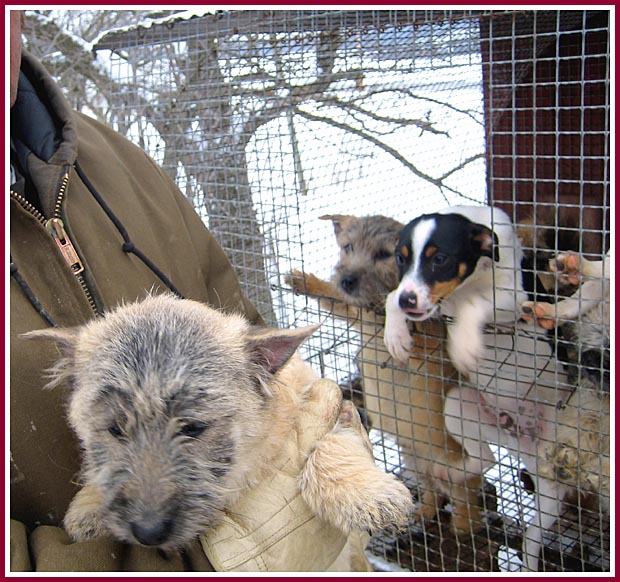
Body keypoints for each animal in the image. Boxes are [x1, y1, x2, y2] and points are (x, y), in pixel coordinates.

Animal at [24, 296, 412, 560]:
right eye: (116, 429)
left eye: (193, 427)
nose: (147, 532)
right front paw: (88, 504)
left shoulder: (330, 404)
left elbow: (332, 443)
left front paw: (364, 493)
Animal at [386, 206, 524, 378]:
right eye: (399, 258)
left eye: (439, 259)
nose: (405, 301)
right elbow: (391, 297)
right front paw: (395, 336)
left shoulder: (516, 299)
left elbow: (472, 302)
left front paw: (464, 345)